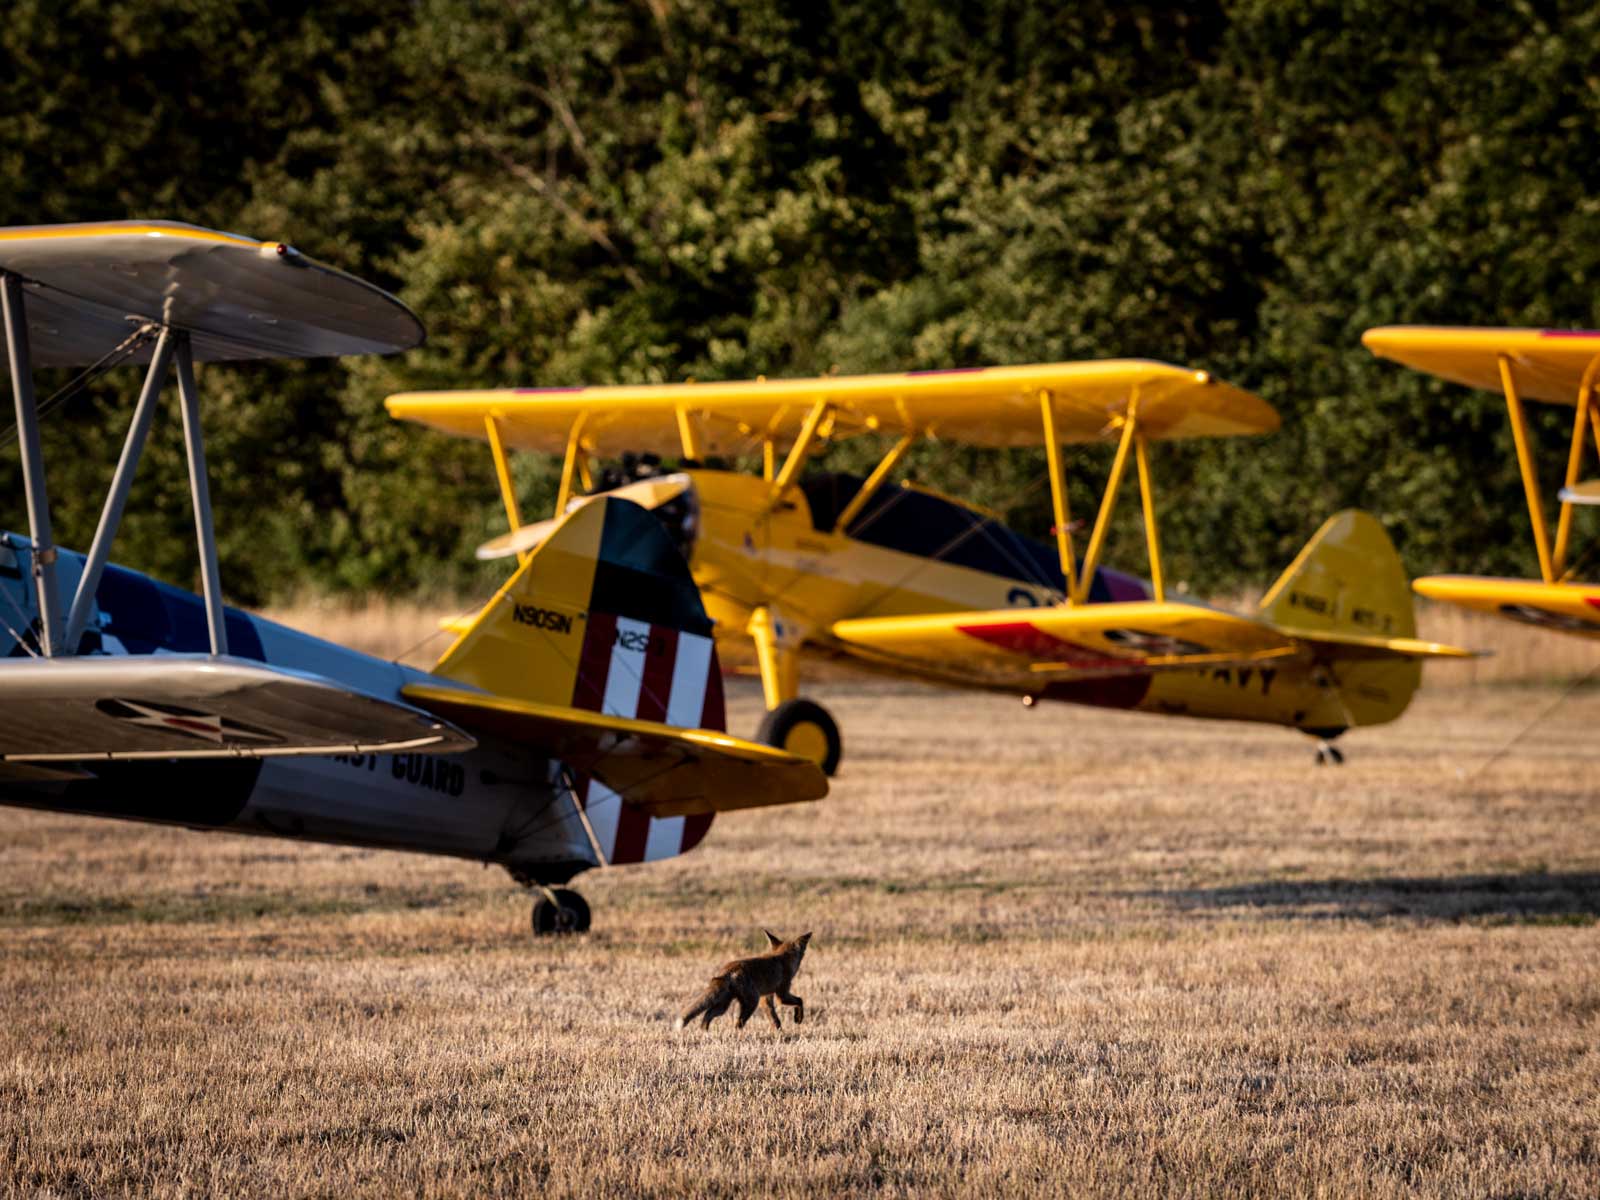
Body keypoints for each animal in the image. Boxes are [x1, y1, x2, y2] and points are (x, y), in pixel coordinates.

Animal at [678, 928, 812, 1036]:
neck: (782, 958)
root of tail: (728, 970)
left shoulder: (766, 998)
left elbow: (774, 1019)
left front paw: (779, 1033)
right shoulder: (782, 994)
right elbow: (800, 1000)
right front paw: (798, 1018)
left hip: (723, 1005)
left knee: (707, 1015)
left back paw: (705, 1033)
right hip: (751, 1002)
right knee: (738, 1024)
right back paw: (738, 1036)